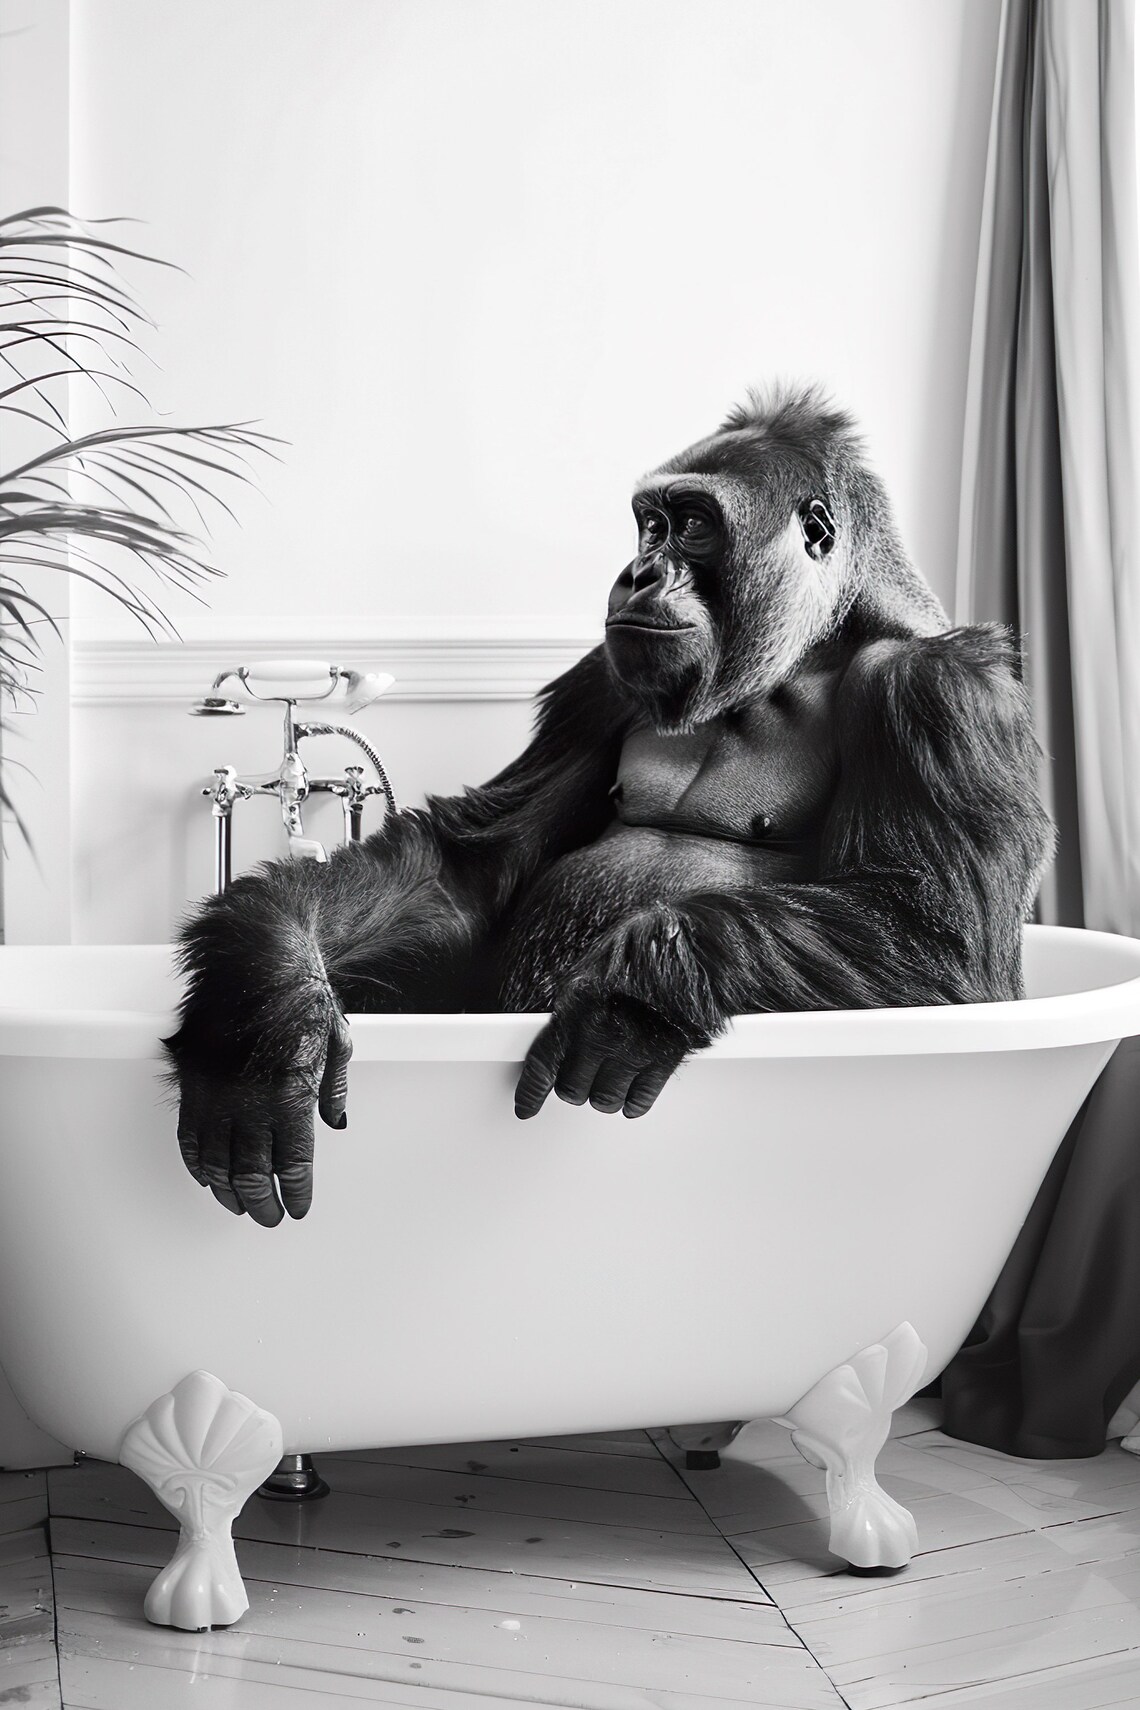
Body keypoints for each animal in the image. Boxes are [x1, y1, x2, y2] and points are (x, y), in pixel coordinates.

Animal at [167, 385, 1054, 1229]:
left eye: (691, 524)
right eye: (648, 525)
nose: (637, 574)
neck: (808, 649)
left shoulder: (944, 695)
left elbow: (944, 941)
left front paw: (644, 983)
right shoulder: (599, 681)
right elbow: (468, 871)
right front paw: (265, 1011)